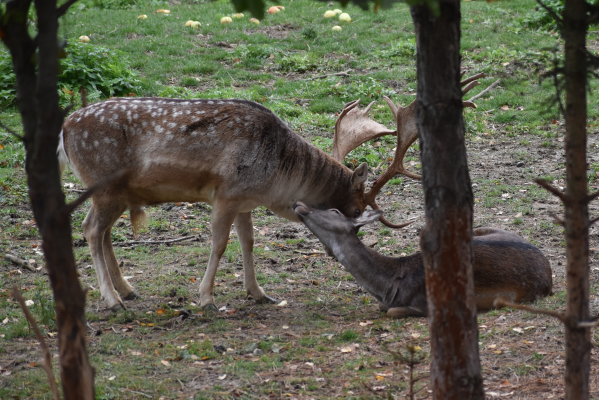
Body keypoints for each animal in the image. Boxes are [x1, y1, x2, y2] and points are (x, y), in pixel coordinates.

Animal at [59, 98, 370, 310]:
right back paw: (113, 300)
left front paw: (258, 293)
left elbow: (248, 241)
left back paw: (127, 290)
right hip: (105, 188)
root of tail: (64, 129)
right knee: (90, 229)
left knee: (104, 232)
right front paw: (206, 298)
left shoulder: (244, 202)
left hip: (115, 195)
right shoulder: (226, 195)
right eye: (356, 211)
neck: (274, 182)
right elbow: (219, 244)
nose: (340, 254)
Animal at [294, 203, 552, 318]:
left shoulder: (425, 303)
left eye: (335, 211)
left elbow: (391, 311)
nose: (300, 205)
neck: (389, 285)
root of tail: (549, 271)